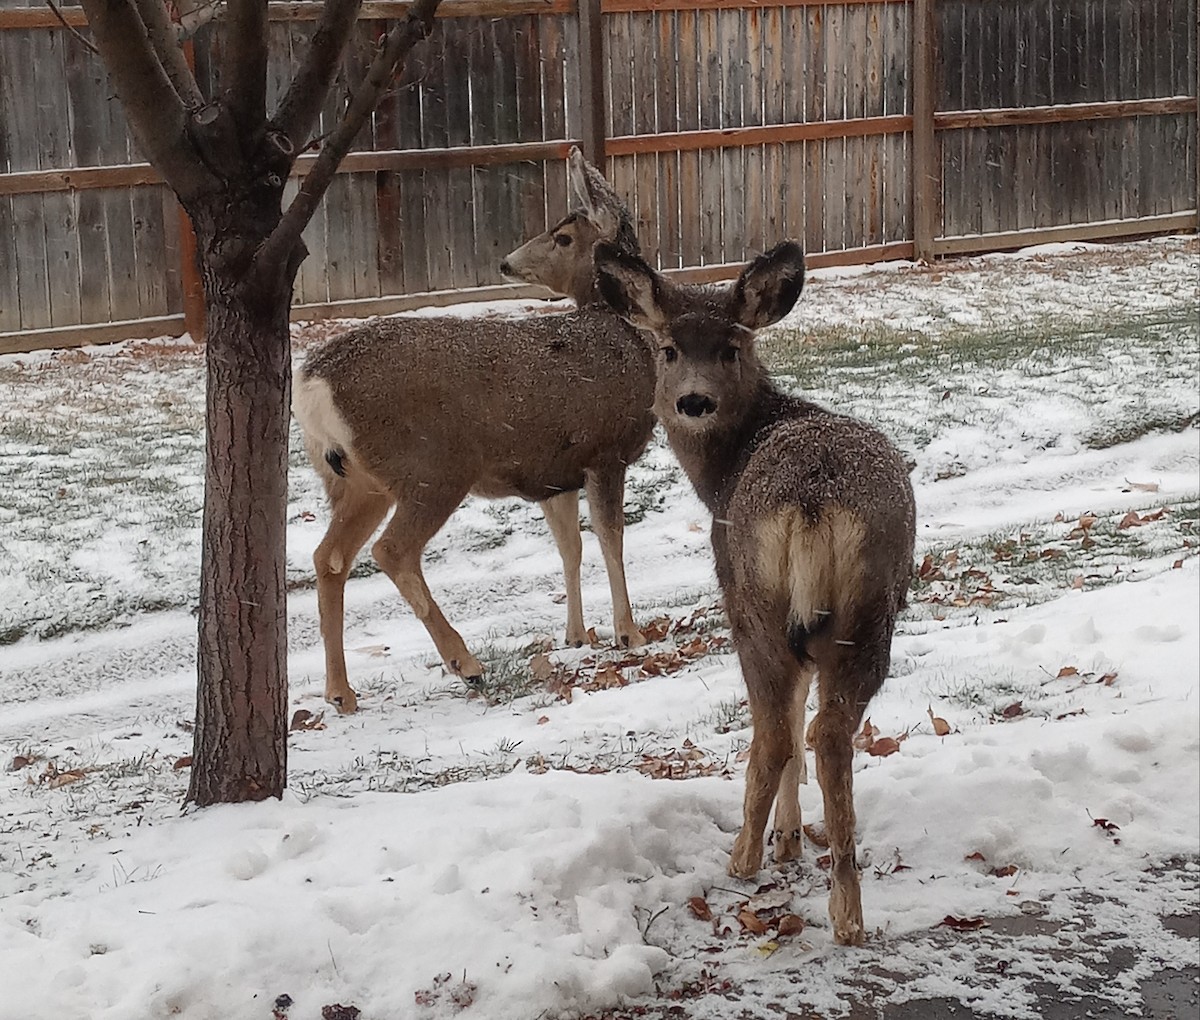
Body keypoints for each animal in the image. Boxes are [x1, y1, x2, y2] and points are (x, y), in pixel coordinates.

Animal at [293, 148, 656, 714]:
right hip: (433, 467)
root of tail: (312, 383)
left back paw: (340, 691)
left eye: (562, 236)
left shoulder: (554, 471)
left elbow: (569, 546)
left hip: (355, 480)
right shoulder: (605, 450)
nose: (506, 262)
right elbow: (610, 539)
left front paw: (575, 635)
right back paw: (466, 664)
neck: (625, 335)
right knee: (391, 551)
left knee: (329, 558)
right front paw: (628, 633)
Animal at [593, 240, 916, 946]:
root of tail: (813, 498)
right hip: (868, 606)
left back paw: (742, 858)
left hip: (754, 604)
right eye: (669, 349)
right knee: (827, 731)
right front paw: (793, 838)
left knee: (773, 731)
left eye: (730, 348)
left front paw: (780, 843)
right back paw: (847, 911)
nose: (692, 402)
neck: (723, 471)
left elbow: (781, 724)